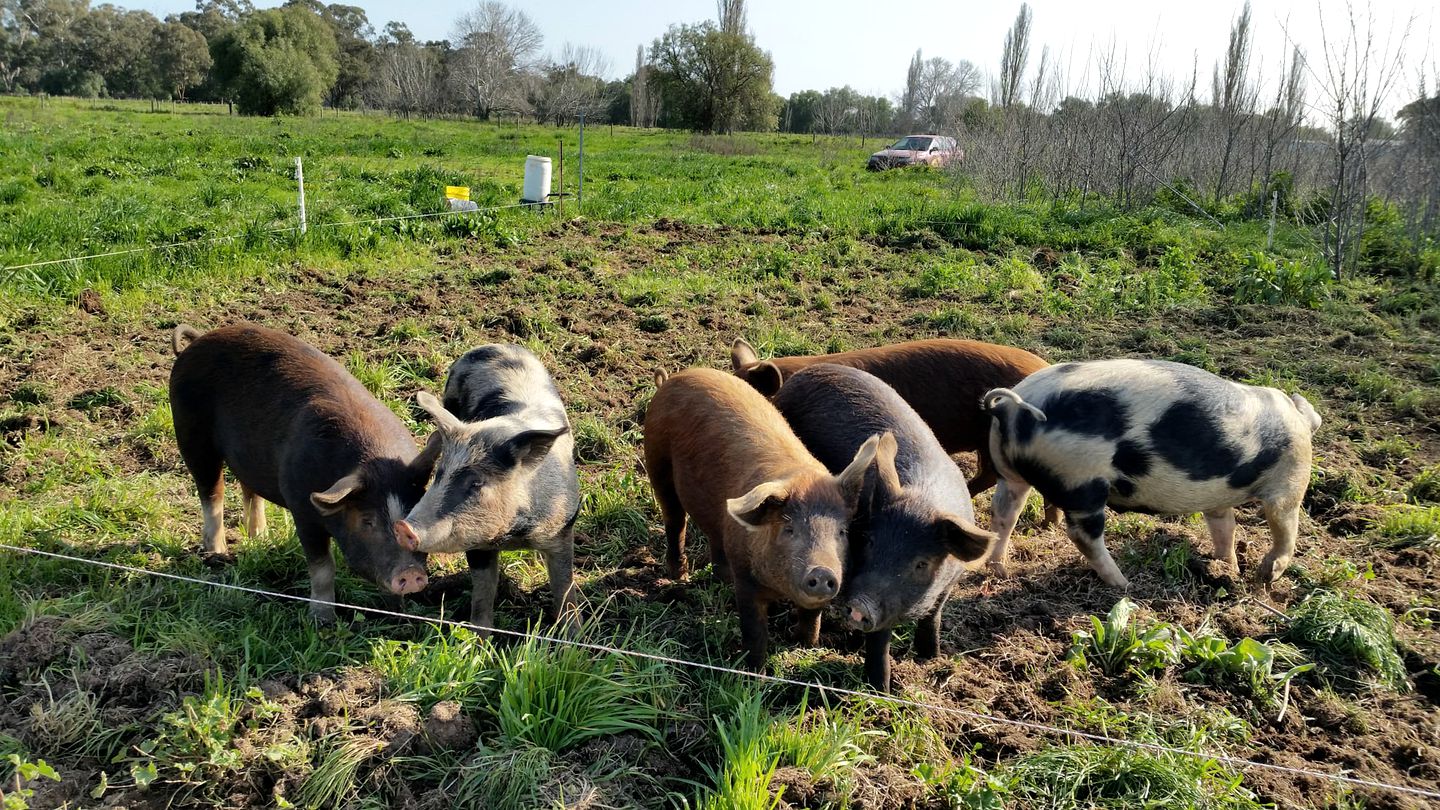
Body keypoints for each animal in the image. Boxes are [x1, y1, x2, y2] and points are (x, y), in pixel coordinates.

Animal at [169, 321, 437, 616]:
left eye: (413, 515)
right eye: (367, 521)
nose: (411, 573)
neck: (374, 460)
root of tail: (198, 340)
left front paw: (398, 611)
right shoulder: (302, 509)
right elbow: (323, 567)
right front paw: (322, 620)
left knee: (248, 487)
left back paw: (261, 539)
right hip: (191, 434)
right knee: (211, 491)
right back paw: (218, 554)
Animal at [394, 340, 578, 631]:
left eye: (477, 482)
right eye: (440, 475)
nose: (403, 527)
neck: (515, 534)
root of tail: (494, 345)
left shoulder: (563, 529)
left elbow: (564, 591)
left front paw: (575, 637)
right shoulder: (476, 545)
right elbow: (483, 597)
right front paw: (478, 641)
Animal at [645, 367, 875, 668]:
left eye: (841, 532)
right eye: (789, 529)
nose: (822, 571)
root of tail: (672, 378)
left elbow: (811, 616)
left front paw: (805, 643)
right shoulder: (746, 580)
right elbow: (754, 628)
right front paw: (753, 670)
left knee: (714, 537)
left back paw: (721, 579)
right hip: (656, 463)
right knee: (675, 521)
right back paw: (678, 577)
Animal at [984, 358, 1319, 585]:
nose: (1243, 573)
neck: (1299, 425)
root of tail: (1013, 410)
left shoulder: (1219, 500)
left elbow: (1225, 526)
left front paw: (1230, 568)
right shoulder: (1290, 479)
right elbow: (1284, 524)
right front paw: (1265, 575)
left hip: (1009, 472)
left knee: (1003, 514)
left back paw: (1000, 569)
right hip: (1080, 479)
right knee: (1083, 535)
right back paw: (1123, 584)